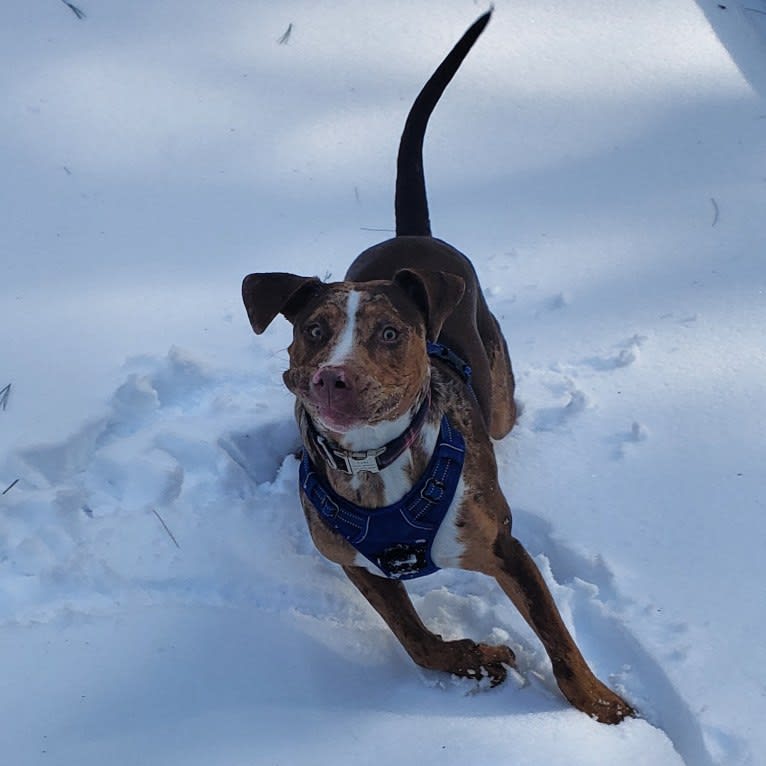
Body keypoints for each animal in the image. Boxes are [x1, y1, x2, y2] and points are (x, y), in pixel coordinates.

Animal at [244, 10, 636, 728]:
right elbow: (416, 639)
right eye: (314, 331)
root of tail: (414, 235)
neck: (375, 465)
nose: (332, 378)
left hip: (500, 397)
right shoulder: (356, 564)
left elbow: (561, 642)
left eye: (389, 333)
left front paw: (601, 706)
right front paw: (475, 659)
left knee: (508, 409)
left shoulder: (505, 549)